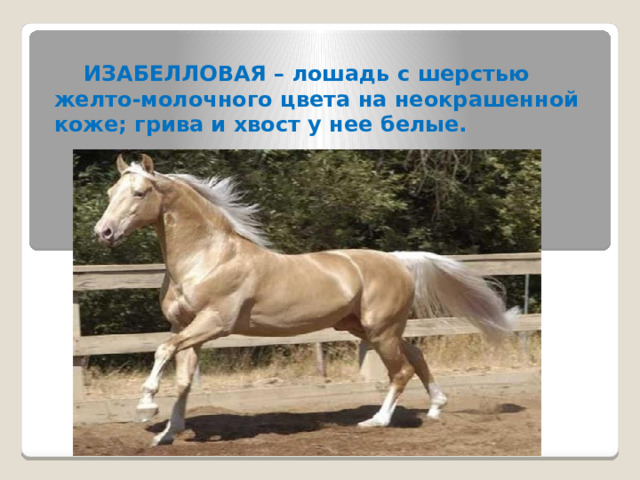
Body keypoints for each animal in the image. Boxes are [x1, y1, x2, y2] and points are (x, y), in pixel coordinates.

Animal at [94, 153, 517, 446]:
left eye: (140, 193)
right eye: (111, 193)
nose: (104, 232)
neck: (208, 258)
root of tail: (397, 260)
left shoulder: (213, 323)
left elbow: (162, 351)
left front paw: (145, 407)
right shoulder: (185, 326)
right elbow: (183, 380)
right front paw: (167, 433)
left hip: (380, 330)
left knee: (400, 371)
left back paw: (377, 421)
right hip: (367, 327)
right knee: (416, 354)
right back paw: (436, 407)